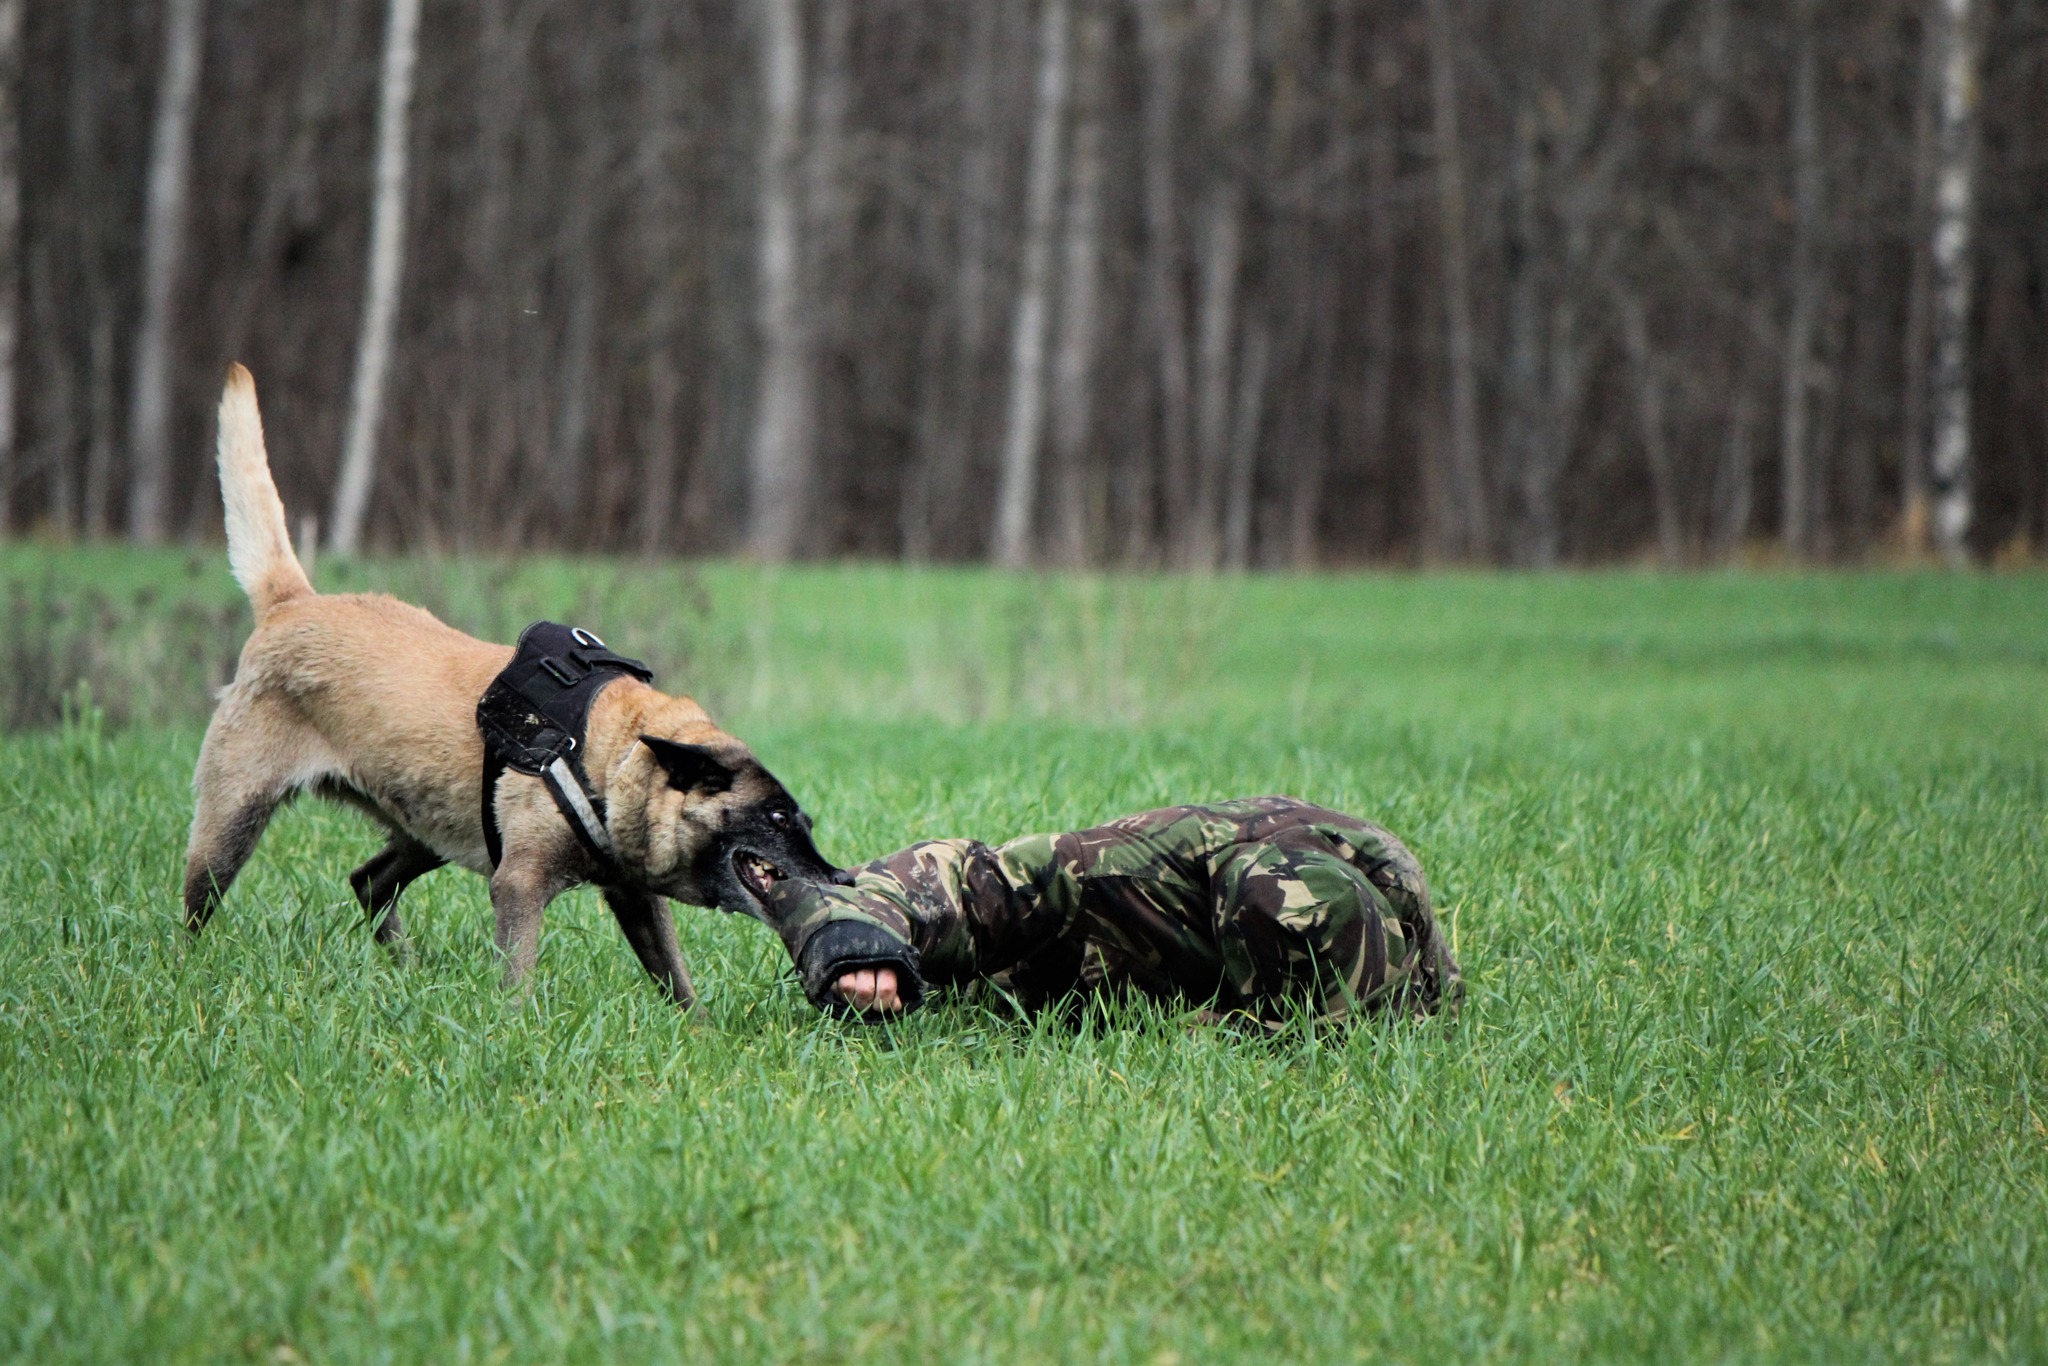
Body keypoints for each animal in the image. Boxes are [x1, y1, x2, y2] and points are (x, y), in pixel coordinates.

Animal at [182, 366, 839, 1003]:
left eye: (804, 821)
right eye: (776, 817)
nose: (838, 877)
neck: (612, 752)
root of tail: (292, 602)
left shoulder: (634, 896)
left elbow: (679, 983)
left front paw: (697, 1027)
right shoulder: (519, 884)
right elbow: (517, 981)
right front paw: (515, 1027)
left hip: (430, 830)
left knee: (368, 882)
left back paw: (407, 974)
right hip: (232, 823)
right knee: (197, 908)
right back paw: (189, 969)